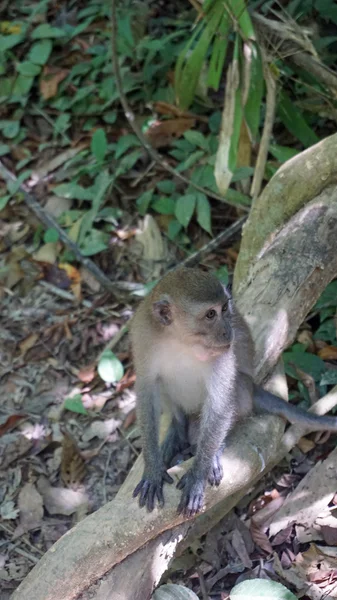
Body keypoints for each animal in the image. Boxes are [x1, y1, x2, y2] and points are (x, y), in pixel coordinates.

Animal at [131, 268, 336, 516]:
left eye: (224, 309)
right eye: (210, 314)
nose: (227, 331)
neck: (181, 341)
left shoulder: (221, 352)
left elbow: (220, 402)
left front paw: (198, 474)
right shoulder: (143, 337)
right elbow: (147, 391)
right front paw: (153, 468)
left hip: (245, 390)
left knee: (233, 390)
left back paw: (212, 450)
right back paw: (178, 430)